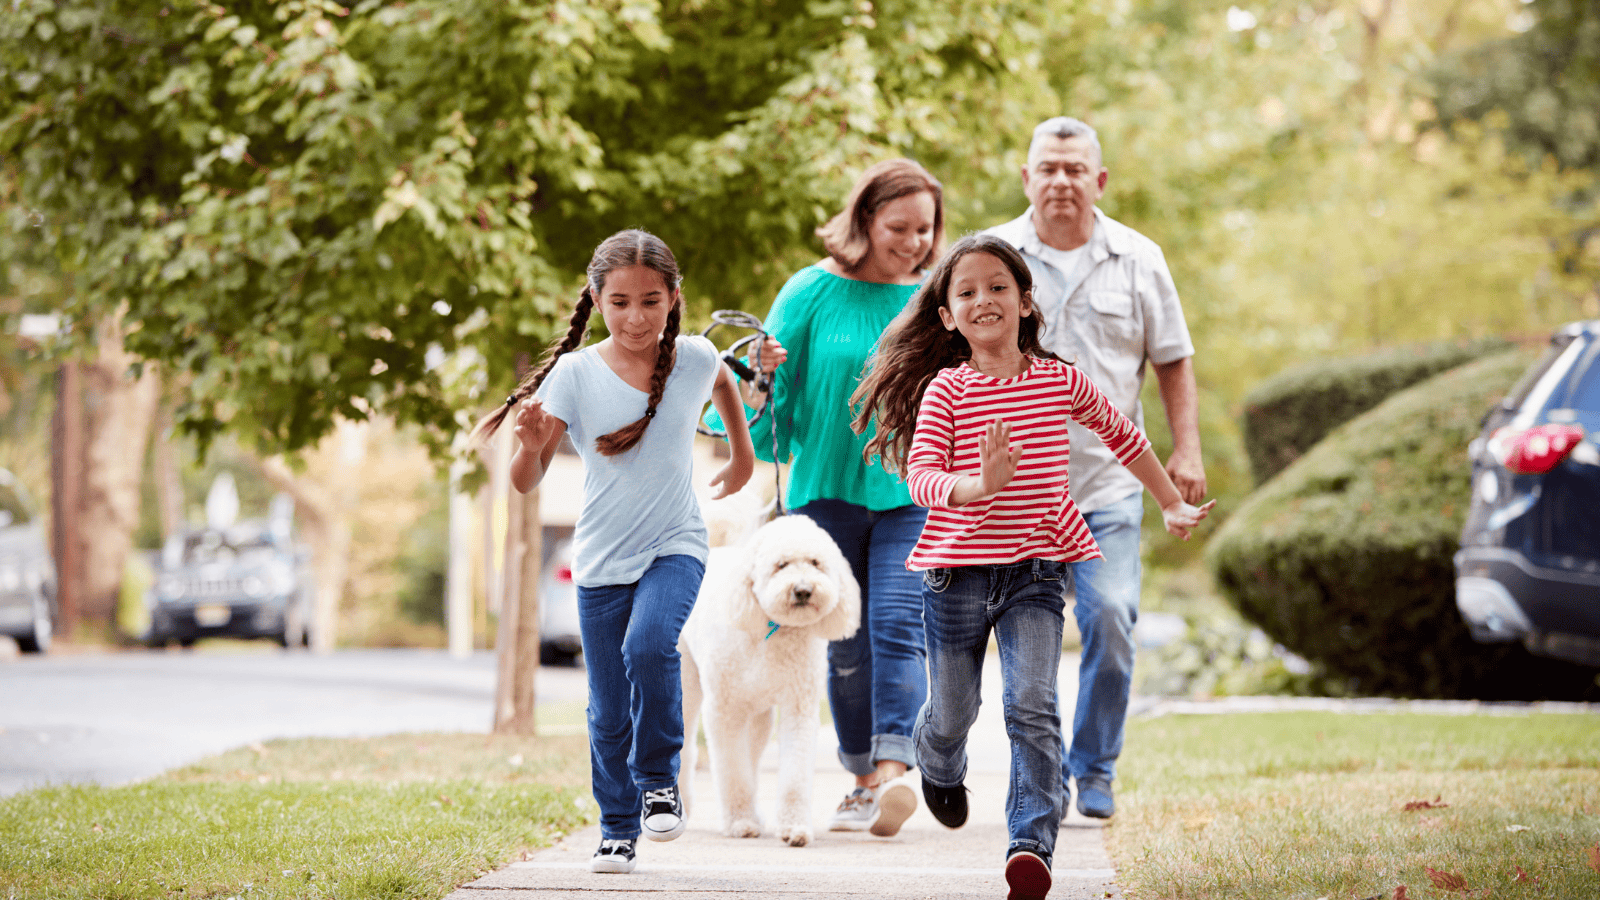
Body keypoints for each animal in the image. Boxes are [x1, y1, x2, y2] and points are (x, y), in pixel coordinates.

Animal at [684, 512, 864, 839]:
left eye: (816, 563)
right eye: (781, 565)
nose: (803, 590)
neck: (773, 629)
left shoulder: (799, 707)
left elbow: (793, 773)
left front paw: (794, 826)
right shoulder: (724, 711)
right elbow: (732, 771)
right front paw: (740, 821)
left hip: (758, 715)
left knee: (752, 756)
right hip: (686, 682)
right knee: (686, 749)